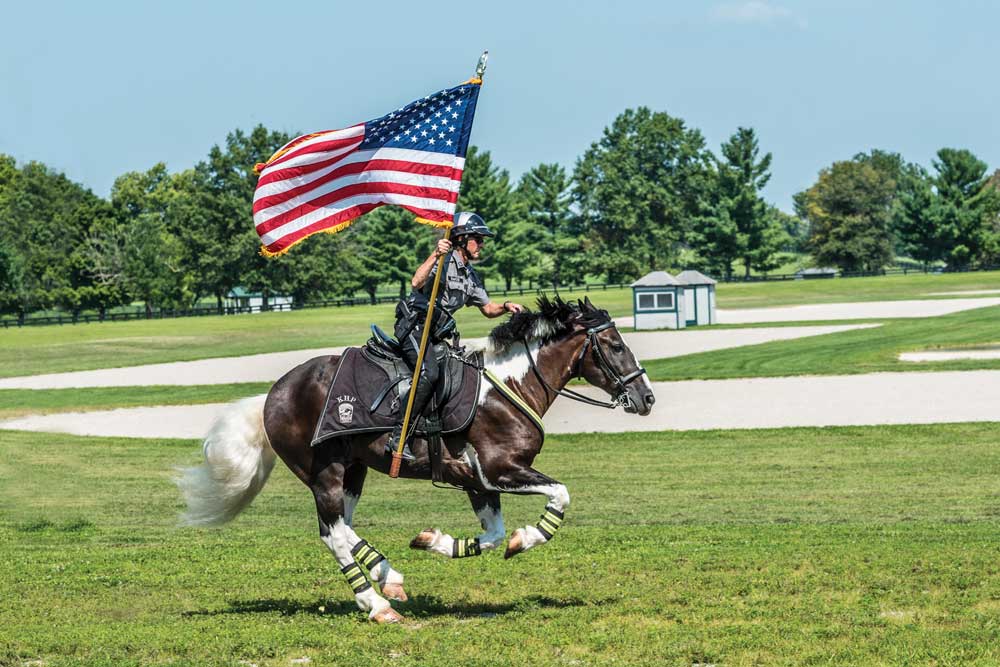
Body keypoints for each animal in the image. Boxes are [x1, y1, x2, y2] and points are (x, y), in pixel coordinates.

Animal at [178, 294, 656, 624]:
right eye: (615, 345)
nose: (647, 397)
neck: (509, 388)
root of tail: (273, 394)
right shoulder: (500, 471)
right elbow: (559, 495)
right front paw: (527, 538)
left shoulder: (477, 481)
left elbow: (493, 535)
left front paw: (433, 541)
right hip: (324, 474)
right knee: (333, 535)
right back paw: (376, 604)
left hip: (353, 471)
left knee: (341, 527)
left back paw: (388, 577)